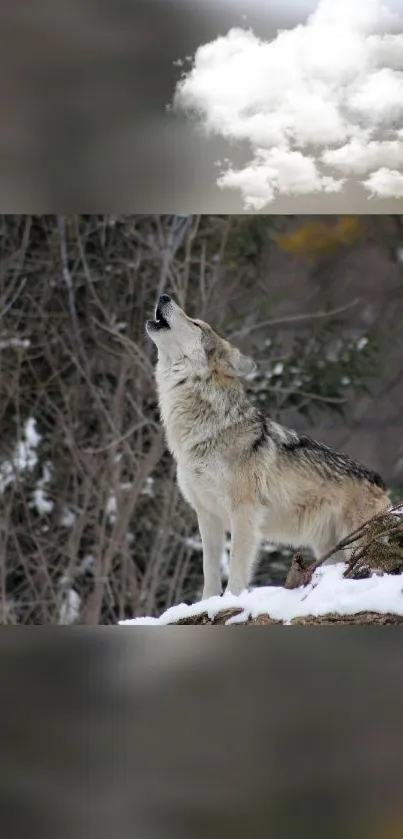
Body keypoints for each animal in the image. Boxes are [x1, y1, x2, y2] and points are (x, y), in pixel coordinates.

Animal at [147, 296, 390, 596]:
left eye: (195, 323)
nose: (164, 297)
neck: (207, 430)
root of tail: (380, 481)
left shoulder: (244, 512)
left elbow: (237, 571)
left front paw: (232, 600)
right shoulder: (207, 515)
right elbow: (209, 573)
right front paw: (208, 602)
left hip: (357, 544)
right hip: (331, 550)